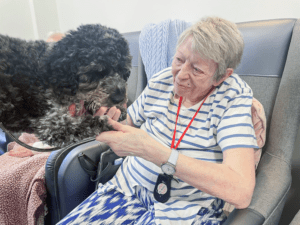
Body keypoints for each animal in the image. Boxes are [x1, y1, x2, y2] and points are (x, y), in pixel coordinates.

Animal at [0, 24, 131, 149]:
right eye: (97, 72)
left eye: (124, 71)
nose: (119, 98)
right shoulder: (51, 125)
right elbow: (85, 124)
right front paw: (107, 123)